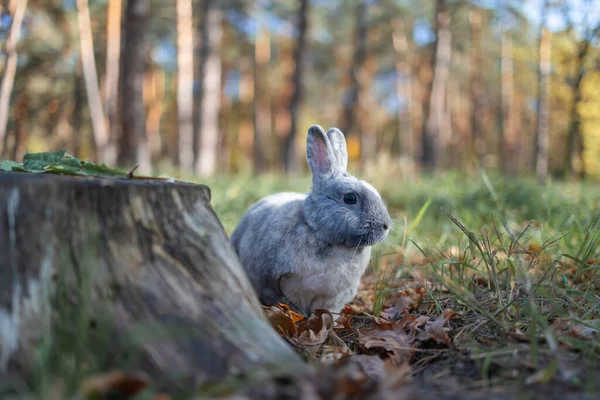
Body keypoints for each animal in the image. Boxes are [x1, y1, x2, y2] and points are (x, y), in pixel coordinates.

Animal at [231, 125, 394, 316]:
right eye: (350, 198)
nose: (386, 226)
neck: (317, 229)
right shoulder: (284, 286)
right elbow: (294, 307)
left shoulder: (335, 297)